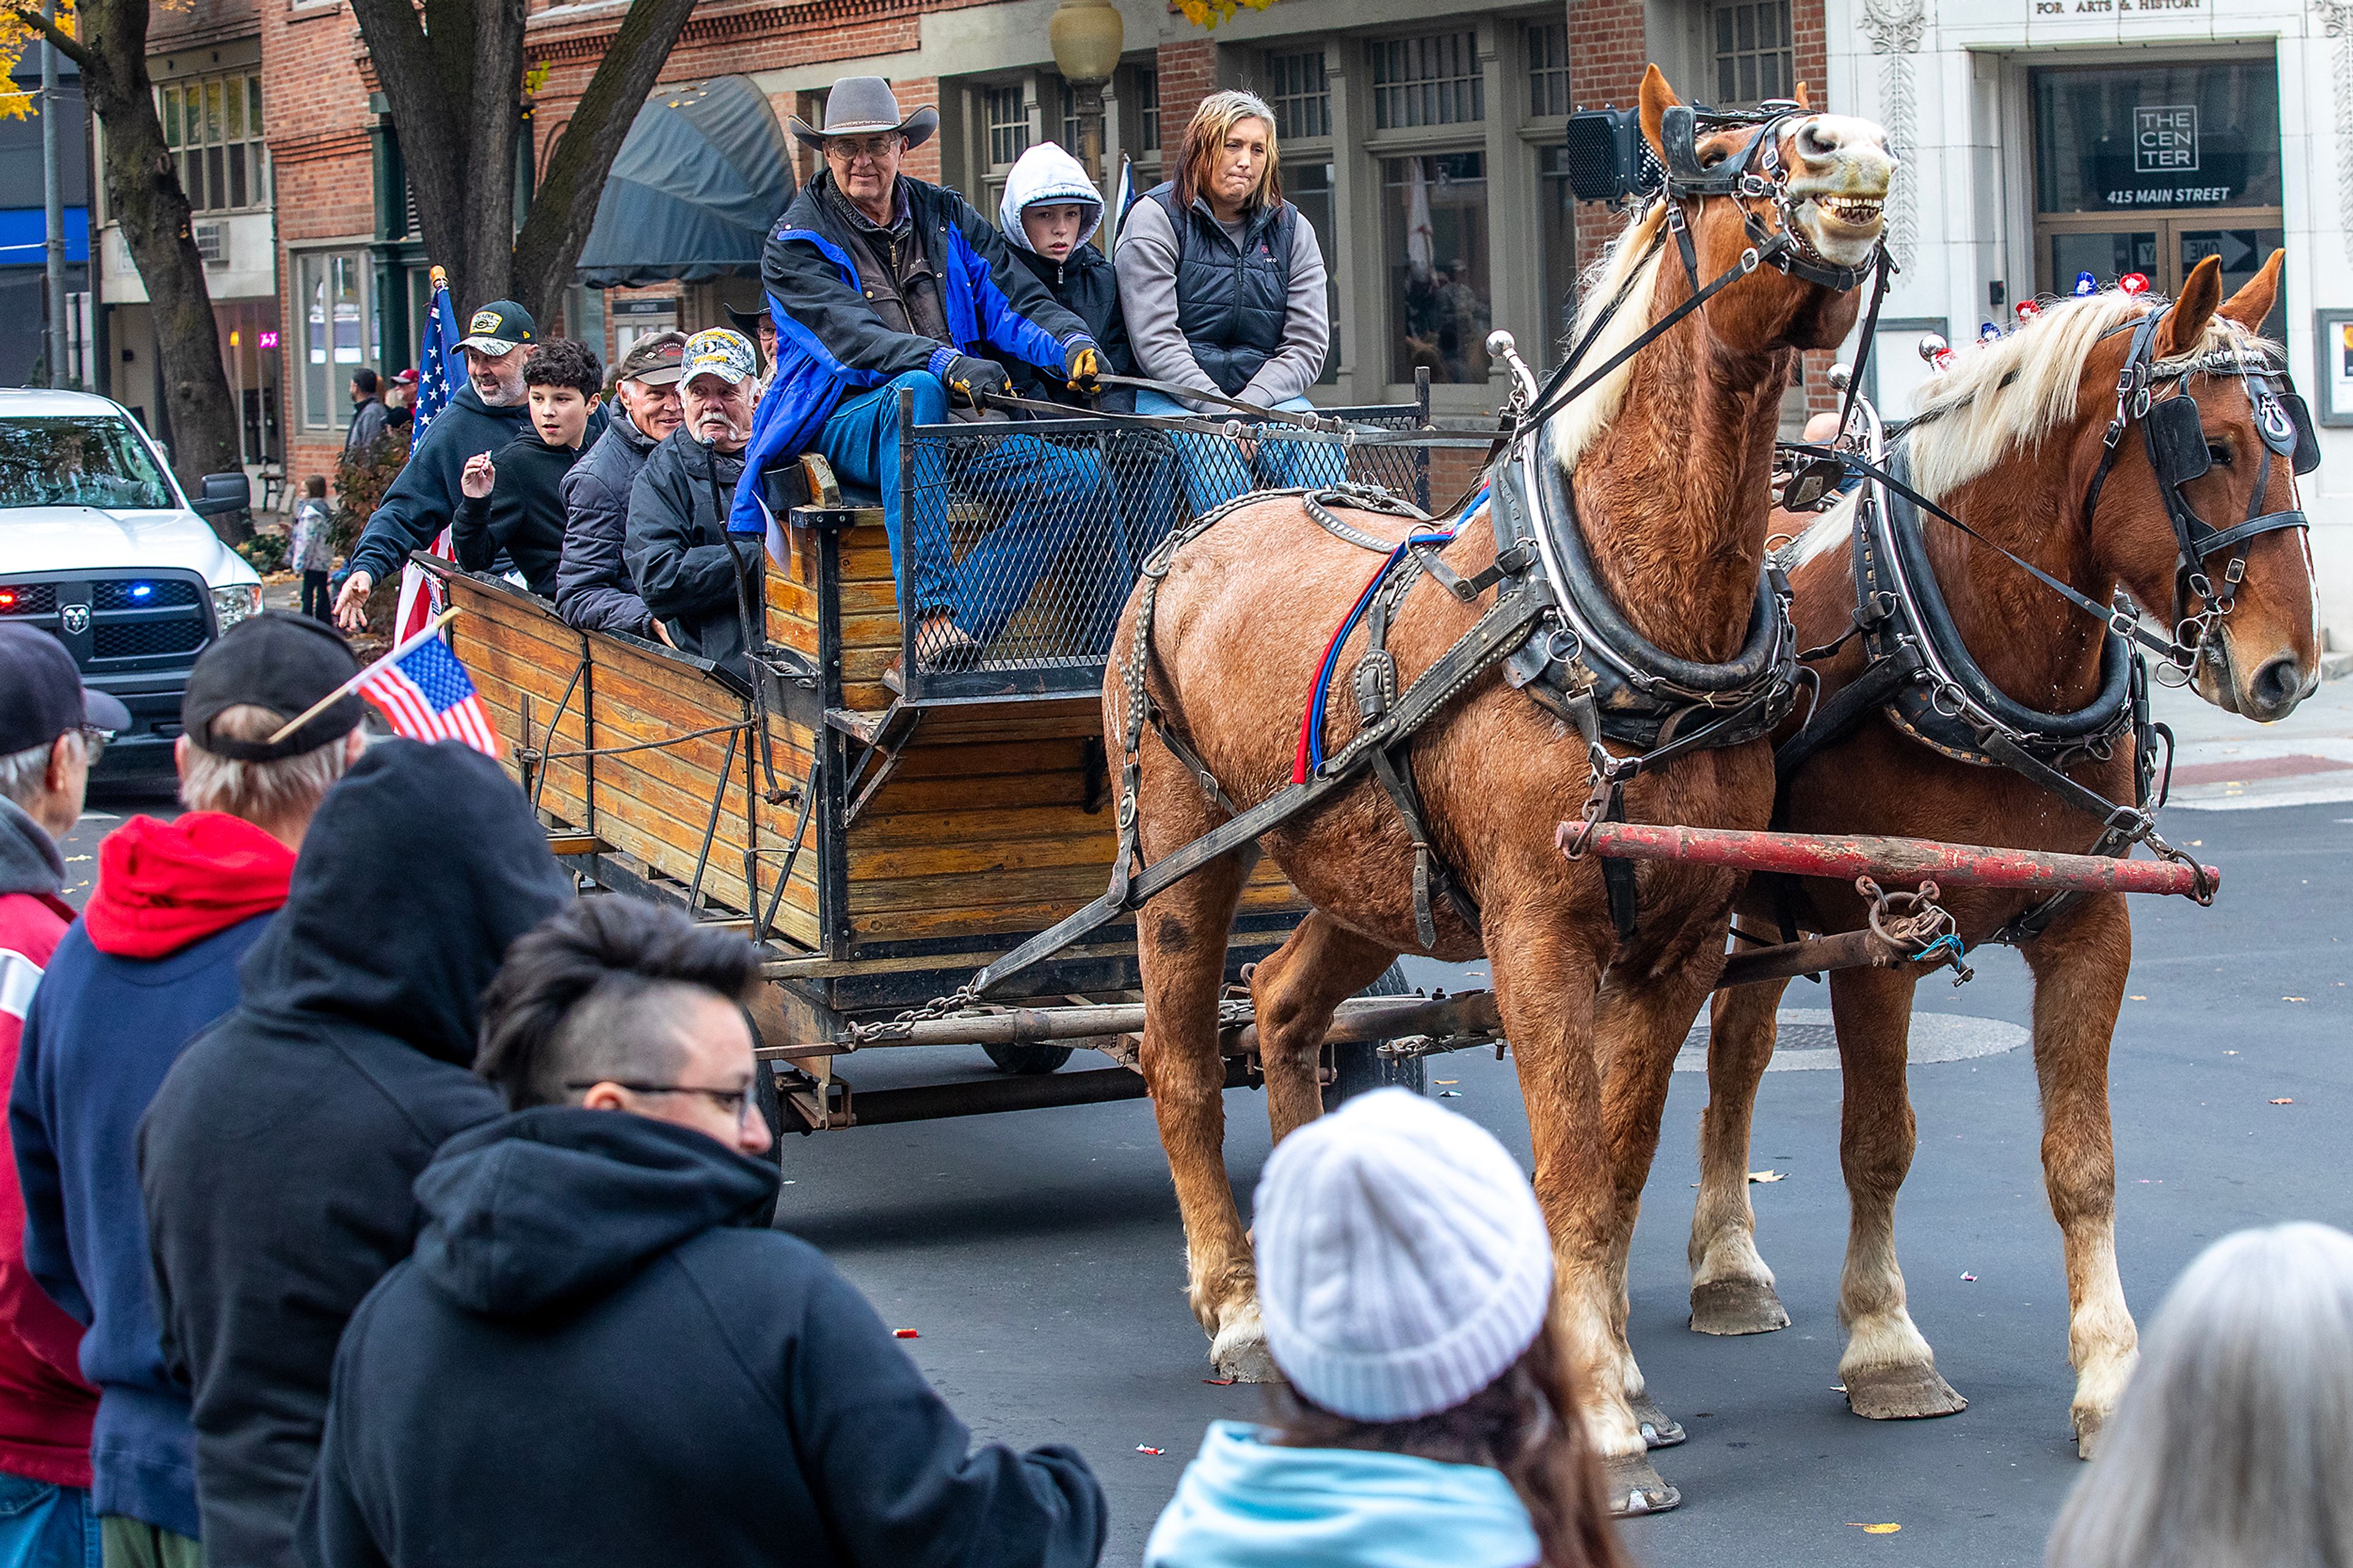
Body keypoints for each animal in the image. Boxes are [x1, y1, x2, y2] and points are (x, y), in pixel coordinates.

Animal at [1110, 67, 1901, 1507]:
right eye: (1708, 153)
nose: (1849, 147)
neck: (1627, 620)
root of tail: (1201, 529)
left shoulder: (1681, 942)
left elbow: (1623, 1163)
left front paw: (1622, 1385)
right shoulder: (1539, 934)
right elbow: (1572, 1168)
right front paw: (1597, 1420)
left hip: (1358, 877)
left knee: (1285, 1009)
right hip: (1183, 862)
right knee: (1182, 1059)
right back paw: (1240, 1310)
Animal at [1694, 247, 2315, 1450]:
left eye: (2295, 444)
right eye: (2213, 448)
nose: (2290, 670)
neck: (1973, 658)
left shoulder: (2089, 923)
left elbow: (2085, 1162)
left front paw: (2111, 1372)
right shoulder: (1879, 931)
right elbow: (1877, 1140)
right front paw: (1887, 1344)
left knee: (1739, 1047)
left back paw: (1729, 1263)